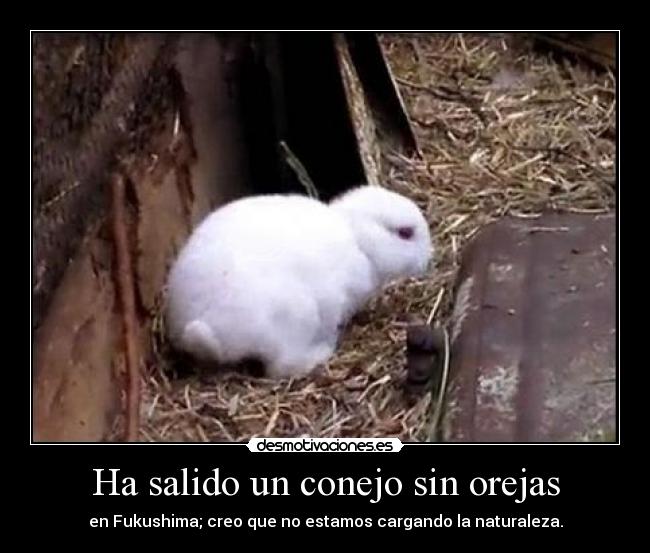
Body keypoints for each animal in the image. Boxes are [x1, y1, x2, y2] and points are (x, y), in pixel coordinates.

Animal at [164, 184, 433, 380]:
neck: (358, 240)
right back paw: (322, 351)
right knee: (281, 367)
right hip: (297, 318)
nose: (428, 259)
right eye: (405, 233)